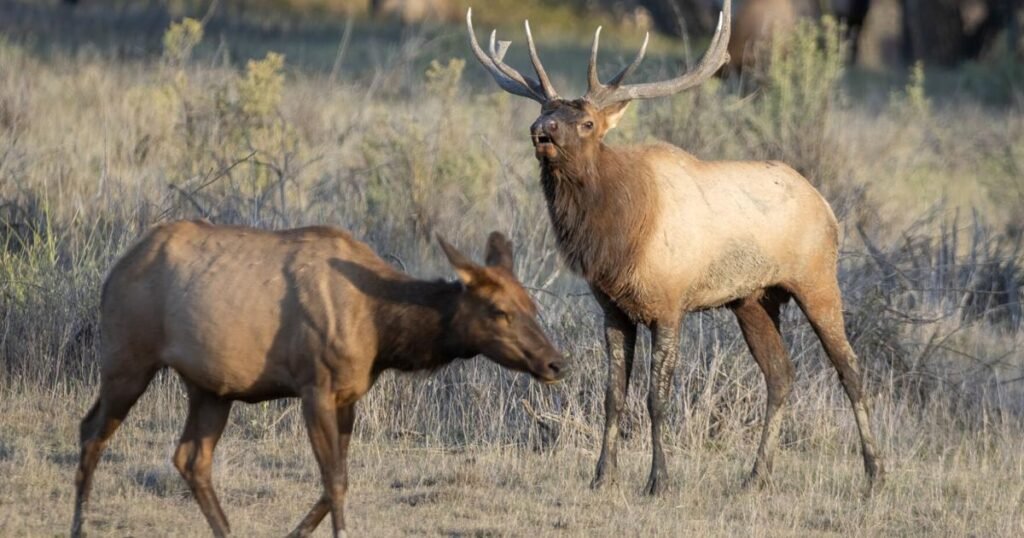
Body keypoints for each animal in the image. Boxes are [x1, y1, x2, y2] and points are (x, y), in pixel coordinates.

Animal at [70, 220, 569, 532]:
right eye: (499, 311)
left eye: (532, 304)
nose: (556, 363)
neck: (382, 332)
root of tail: (113, 272)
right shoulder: (315, 388)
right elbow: (335, 482)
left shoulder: (348, 397)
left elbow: (337, 481)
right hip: (127, 359)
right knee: (91, 430)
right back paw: (79, 526)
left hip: (210, 388)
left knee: (190, 458)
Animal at [468, 0, 884, 495]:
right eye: (546, 110)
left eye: (587, 123)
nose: (541, 130)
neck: (620, 241)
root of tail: (827, 207)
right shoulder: (612, 308)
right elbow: (613, 396)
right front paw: (601, 475)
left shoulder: (669, 304)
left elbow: (655, 398)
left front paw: (658, 479)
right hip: (753, 298)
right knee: (781, 374)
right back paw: (756, 475)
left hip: (816, 278)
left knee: (850, 368)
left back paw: (875, 472)